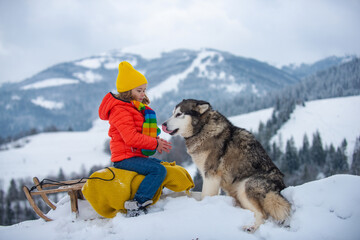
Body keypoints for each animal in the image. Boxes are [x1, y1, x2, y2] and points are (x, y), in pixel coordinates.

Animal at [162, 98, 292, 232]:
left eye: (179, 114)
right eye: (172, 113)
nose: (163, 125)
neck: (202, 128)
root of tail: (280, 188)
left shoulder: (211, 176)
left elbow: (204, 196)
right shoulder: (207, 177)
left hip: (244, 187)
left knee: (263, 215)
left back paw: (250, 227)